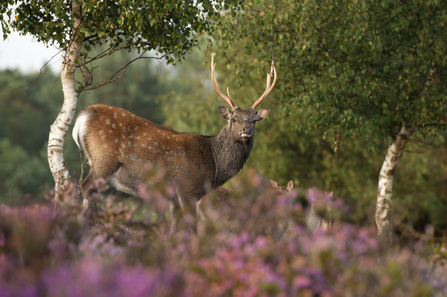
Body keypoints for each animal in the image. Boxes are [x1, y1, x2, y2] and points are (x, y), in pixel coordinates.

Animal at [72, 52, 276, 234]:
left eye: (254, 120)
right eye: (234, 119)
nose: (246, 130)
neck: (214, 164)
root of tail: (83, 117)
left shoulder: (174, 199)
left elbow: (173, 230)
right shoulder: (186, 187)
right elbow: (192, 230)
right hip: (104, 158)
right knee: (86, 187)